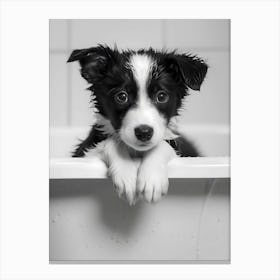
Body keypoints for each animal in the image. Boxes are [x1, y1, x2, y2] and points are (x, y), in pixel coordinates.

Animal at [67, 44, 208, 205]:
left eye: (161, 96)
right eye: (121, 96)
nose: (144, 132)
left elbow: (162, 145)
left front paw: (152, 179)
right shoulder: (84, 153)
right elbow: (111, 143)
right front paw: (127, 175)